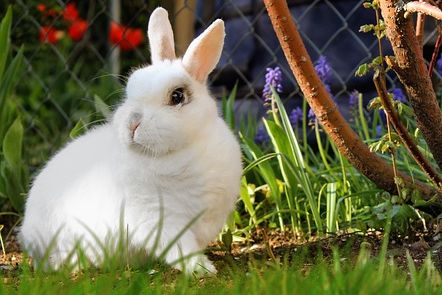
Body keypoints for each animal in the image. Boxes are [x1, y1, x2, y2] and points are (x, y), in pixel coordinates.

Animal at [19, 6, 242, 276]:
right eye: (130, 91)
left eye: (177, 96)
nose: (132, 123)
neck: (181, 151)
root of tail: (27, 236)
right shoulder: (159, 218)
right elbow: (181, 248)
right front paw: (202, 269)